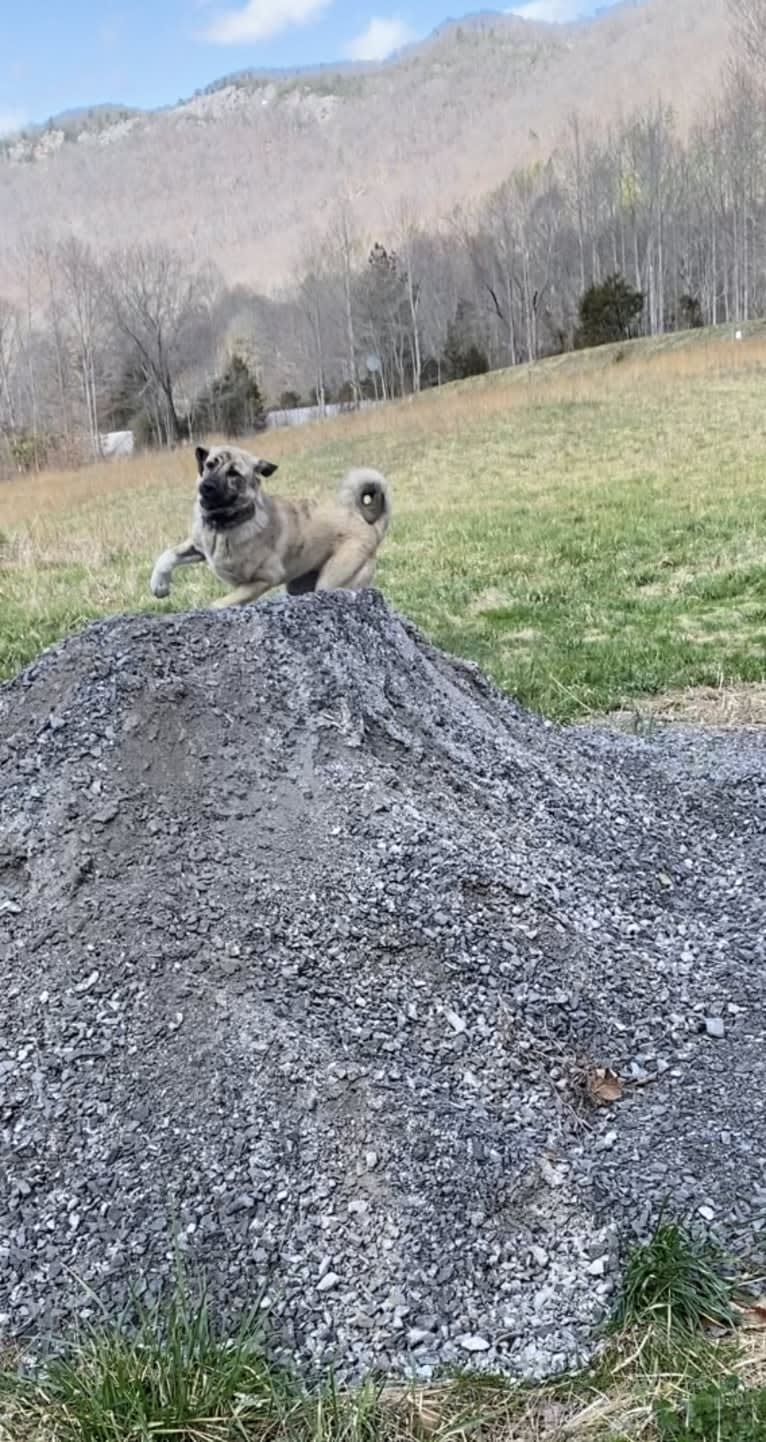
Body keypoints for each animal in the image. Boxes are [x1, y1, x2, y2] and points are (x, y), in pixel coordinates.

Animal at [149, 447, 392, 611]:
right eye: (209, 465)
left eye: (234, 474)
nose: (206, 487)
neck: (224, 525)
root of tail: (370, 526)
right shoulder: (198, 547)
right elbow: (167, 556)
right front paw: (159, 585)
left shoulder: (263, 580)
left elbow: (218, 604)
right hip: (298, 586)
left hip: (332, 580)